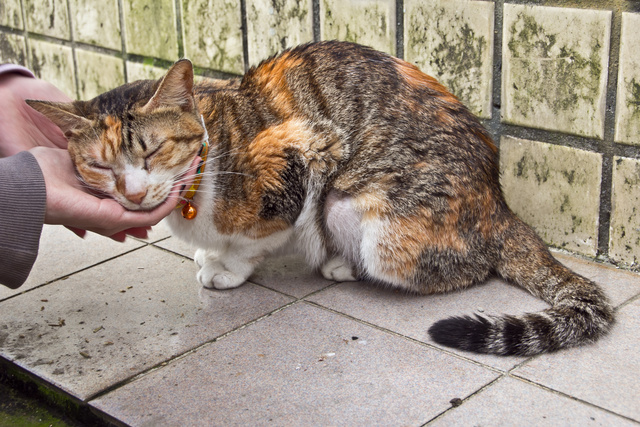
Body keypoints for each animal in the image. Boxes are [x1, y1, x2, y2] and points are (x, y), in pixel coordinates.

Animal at [28, 40, 616, 356]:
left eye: (151, 152)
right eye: (100, 166)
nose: (131, 191)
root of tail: (498, 202)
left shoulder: (310, 148)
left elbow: (259, 233)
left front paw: (226, 268)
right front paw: (209, 254)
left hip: (363, 210)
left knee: (456, 266)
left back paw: (341, 265)